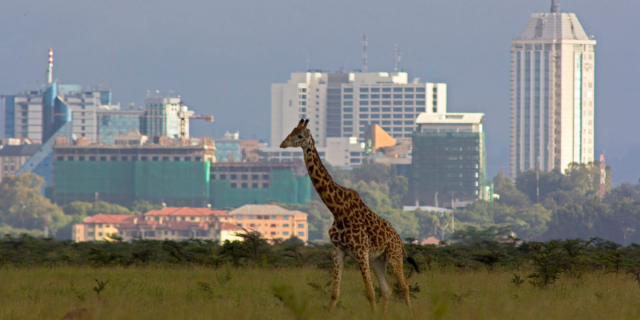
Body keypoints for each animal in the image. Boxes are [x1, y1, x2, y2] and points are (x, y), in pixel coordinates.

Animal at [278, 119, 420, 312]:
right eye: (291, 131)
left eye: (300, 135)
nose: (282, 144)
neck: (338, 211)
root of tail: (400, 240)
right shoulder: (338, 250)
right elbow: (334, 293)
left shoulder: (361, 253)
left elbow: (370, 292)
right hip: (378, 260)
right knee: (388, 289)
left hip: (394, 256)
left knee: (404, 285)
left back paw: (410, 311)